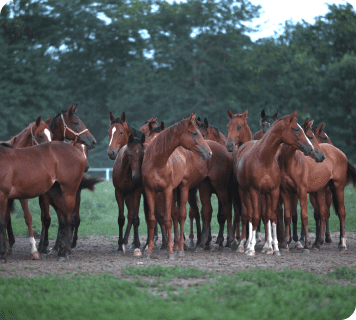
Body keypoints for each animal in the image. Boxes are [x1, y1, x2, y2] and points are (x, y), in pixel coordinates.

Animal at [142, 114, 213, 258]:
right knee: (176, 215)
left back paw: (180, 248)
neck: (157, 163)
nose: (209, 153)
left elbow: (168, 220)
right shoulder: (150, 191)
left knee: (182, 215)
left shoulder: (167, 190)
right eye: (194, 133)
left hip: (184, 187)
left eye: (200, 133)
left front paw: (170, 251)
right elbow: (152, 219)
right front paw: (149, 251)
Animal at [235, 111, 316, 256]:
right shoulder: (254, 191)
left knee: (264, 215)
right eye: (296, 129)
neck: (264, 159)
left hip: (264, 194)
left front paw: (275, 248)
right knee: (248, 215)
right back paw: (244, 245)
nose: (311, 149)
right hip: (243, 191)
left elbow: (272, 217)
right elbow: (255, 217)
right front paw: (251, 249)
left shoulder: (274, 191)